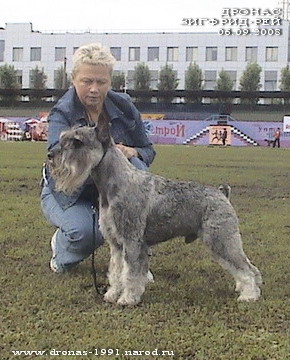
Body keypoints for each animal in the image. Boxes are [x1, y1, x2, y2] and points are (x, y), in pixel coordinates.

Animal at [48, 124, 262, 306]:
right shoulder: (116, 244)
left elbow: (130, 274)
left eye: (77, 141)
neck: (116, 183)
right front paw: (112, 294)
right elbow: (116, 272)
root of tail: (222, 193)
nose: (50, 155)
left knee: (248, 268)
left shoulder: (131, 241)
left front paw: (127, 299)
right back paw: (242, 289)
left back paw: (249, 295)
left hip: (221, 239)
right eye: (62, 137)